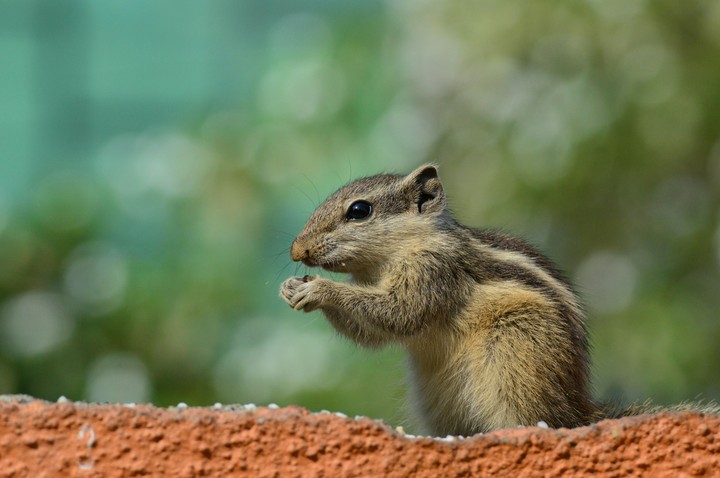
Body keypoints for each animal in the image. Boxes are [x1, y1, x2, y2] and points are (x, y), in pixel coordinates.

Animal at [279, 164, 717, 436]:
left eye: (359, 210)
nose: (297, 250)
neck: (388, 257)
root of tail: (578, 408)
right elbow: (371, 332)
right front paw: (290, 287)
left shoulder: (434, 269)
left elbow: (400, 313)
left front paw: (319, 289)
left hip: (515, 347)